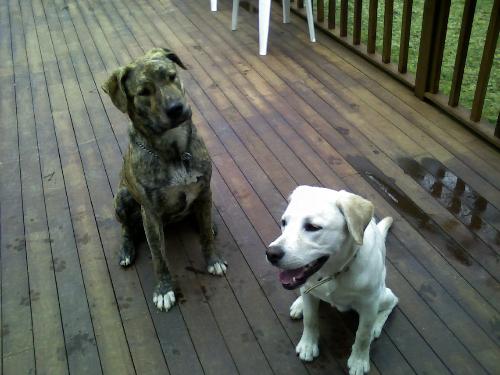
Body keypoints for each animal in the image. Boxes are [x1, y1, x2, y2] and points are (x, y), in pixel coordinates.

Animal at [103, 47, 227, 312]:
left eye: (171, 76)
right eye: (143, 91)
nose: (176, 108)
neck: (175, 152)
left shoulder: (205, 191)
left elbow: (205, 236)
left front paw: (213, 260)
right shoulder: (150, 214)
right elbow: (159, 258)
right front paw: (163, 290)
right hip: (122, 198)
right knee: (126, 228)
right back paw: (126, 250)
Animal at [268, 187, 396, 375]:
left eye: (313, 227)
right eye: (284, 222)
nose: (271, 254)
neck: (332, 273)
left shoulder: (369, 304)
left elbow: (363, 335)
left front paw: (359, 360)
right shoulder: (310, 291)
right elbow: (310, 320)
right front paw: (308, 345)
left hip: (383, 295)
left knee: (393, 302)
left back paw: (376, 326)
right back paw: (299, 304)